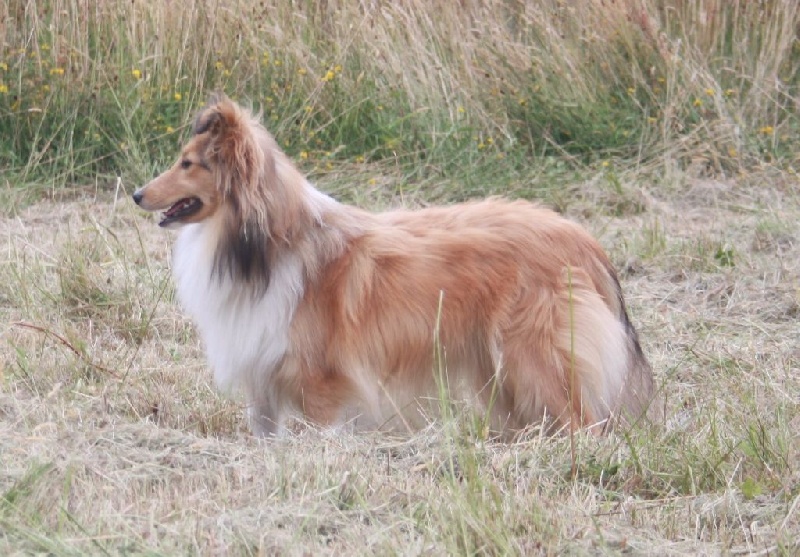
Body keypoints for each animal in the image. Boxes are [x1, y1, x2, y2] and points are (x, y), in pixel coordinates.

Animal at [131, 94, 652, 434]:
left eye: (187, 164)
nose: (136, 193)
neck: (267, 244)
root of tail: (583, 240)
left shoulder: (322, 384)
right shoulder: (263, 382)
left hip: (534, 361)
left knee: (585, 424)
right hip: (503, 372)